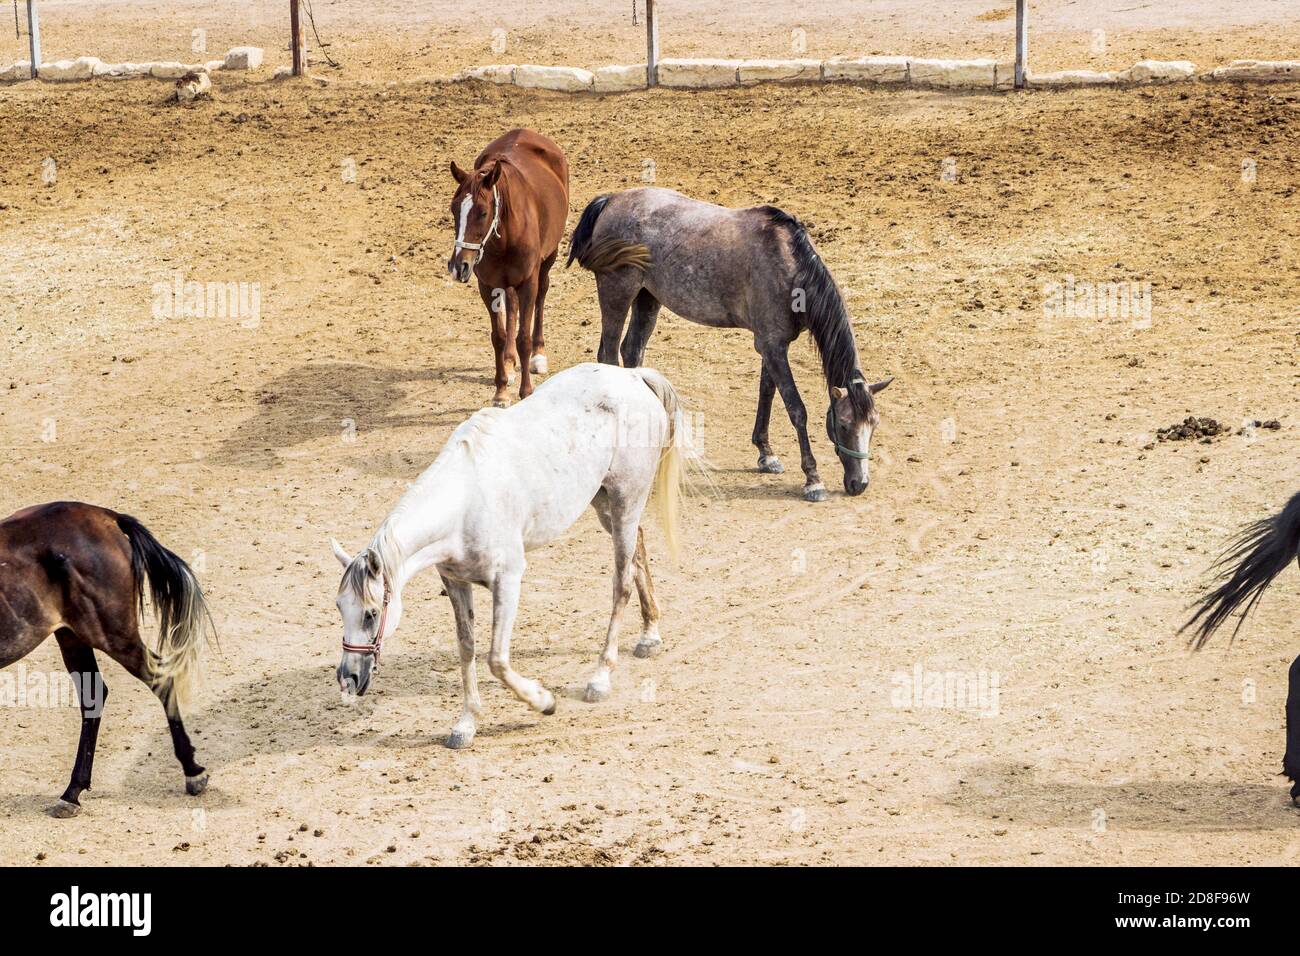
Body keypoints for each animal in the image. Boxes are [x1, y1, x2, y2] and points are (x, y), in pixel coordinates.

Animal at [0, 502, 212, 817]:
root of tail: (107, 516)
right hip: (71, 634)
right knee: (94, 696)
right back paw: (72, 792)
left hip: (111, 632)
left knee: (159, 678)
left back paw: (193, 772)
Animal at [329, 362, 690, 749]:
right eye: (340, 608)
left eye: (371, 613)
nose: (348, 679)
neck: (465, 503)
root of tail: (633, 376)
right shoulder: (455, 583)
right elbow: (467, 648)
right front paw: (466, 723)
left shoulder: (508, 581)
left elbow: (496, 660)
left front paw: (544, 701)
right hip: (604, 503)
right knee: (638, 550)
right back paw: (649, 635)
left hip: (626, 500)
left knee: (621, 583)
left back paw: (600, 678)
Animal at [447, 128, 570, 408]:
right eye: (453, 209)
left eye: (482, 212)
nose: (459, 266)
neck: (506, 233)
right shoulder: (487, 285)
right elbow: (500, 336)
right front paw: (501, 390)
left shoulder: (528, 282)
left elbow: (523, 337)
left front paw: (527, 391)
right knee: (511, 307)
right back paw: (510, 361)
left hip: (548, 260)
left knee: (541, 297)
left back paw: (538, 355)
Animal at [566, 186, 892, 502]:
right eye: (844, 425)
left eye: (874, 424)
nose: (860, 483)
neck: (789, 267)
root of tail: (611, 200)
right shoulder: (773, 346)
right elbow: (796, 409)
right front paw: (813, 479)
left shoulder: (772, 344)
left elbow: (767, 393)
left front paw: (766, 454)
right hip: (617, 293)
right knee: (608, 354)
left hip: (648, 299)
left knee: (632, 351)